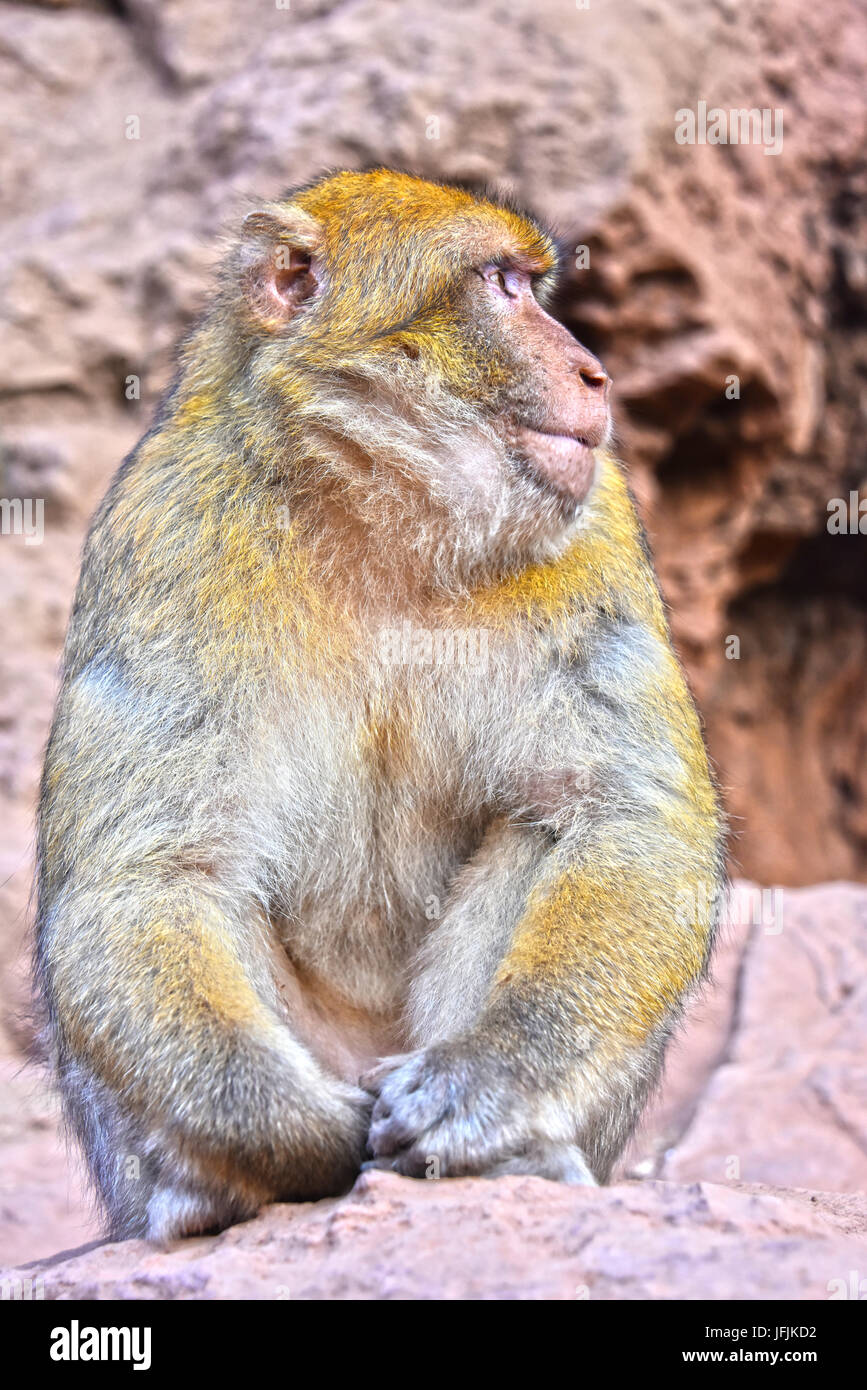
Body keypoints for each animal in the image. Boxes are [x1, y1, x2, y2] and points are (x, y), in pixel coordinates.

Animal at [34, 169, 725, 1241]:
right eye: (502, 286)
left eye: (530, 283)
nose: (594, 374)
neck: (381, 520)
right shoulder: (165, 528)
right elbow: (151, 873)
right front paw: (289, 1133)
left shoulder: (595, 520)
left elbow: (621, 817)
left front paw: (490, 1086)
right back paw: (207, 1191)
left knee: (539, 828)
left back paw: (515, 1153)